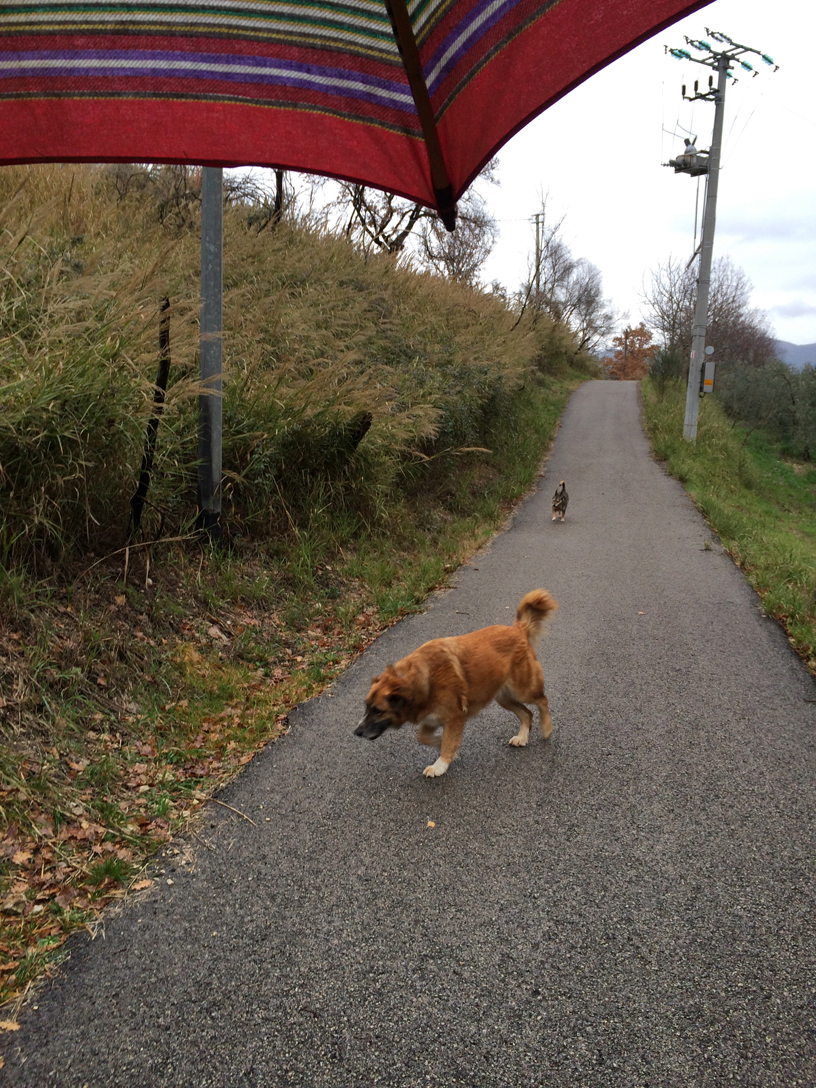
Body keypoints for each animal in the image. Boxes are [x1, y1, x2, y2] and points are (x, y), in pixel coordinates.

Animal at [354, 589, 558, 777]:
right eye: (366, 707)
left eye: (378, 711)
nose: (356, 732)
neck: (418, 679)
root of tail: (517, 629)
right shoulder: (433, 718)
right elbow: (424, 737)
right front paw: (444, 748)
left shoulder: (454, 717)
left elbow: (446, 741)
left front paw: (440, 764)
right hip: (504, 697)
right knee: (527, 714)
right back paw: (523, 736)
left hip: (523, 689)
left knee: (542, 700)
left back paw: (547, 728)